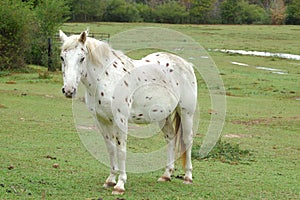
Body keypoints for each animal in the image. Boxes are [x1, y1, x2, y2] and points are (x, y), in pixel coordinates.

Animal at [59, 30, 198, 195]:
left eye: (82, 58)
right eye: (62, 57)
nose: (69, 90)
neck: (107, 78)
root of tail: (187, 64)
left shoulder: (120, 120)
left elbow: (121, 151)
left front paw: (120, 185)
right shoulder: (101, 120)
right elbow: (111, 149)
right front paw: (110, 180)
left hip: (186, 113)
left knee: (187, 140)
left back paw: (188, 177)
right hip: (162, 117)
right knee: (170, 137)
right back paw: (166, 175)